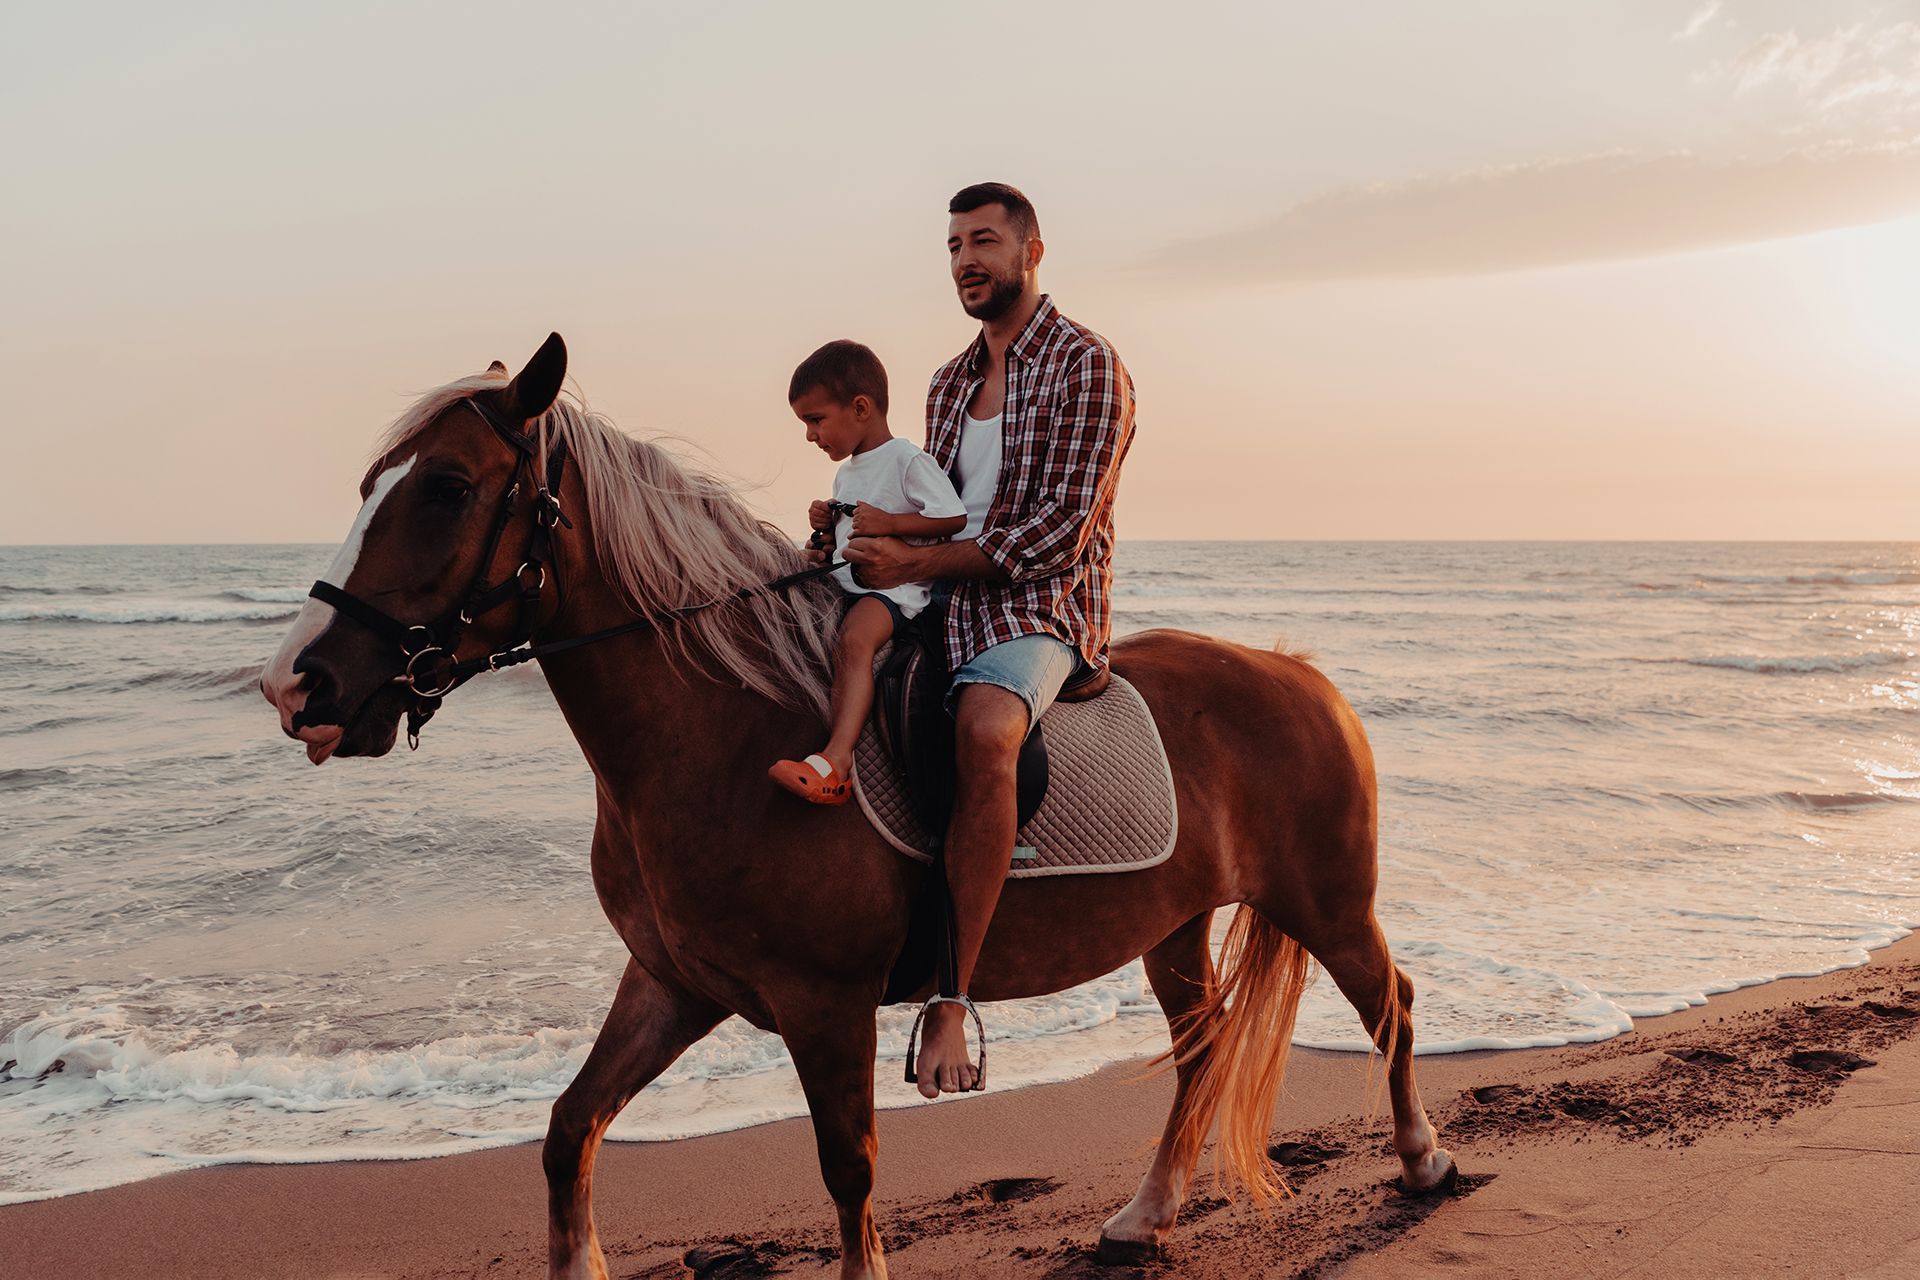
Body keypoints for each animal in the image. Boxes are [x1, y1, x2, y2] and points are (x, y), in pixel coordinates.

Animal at [259, 337, 1451, 1280]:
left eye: (449, 487)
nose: (297, 685)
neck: (725, 731)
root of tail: (1303, 678)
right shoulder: (674, 983)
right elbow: (568, 1129)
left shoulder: (822, 1003)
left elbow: (848, 1172)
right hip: (1175, 922)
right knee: (1202, 1048)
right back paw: (1146, 1216)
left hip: (1327, 903)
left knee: (1389, 1003)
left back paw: (1425, 1158)